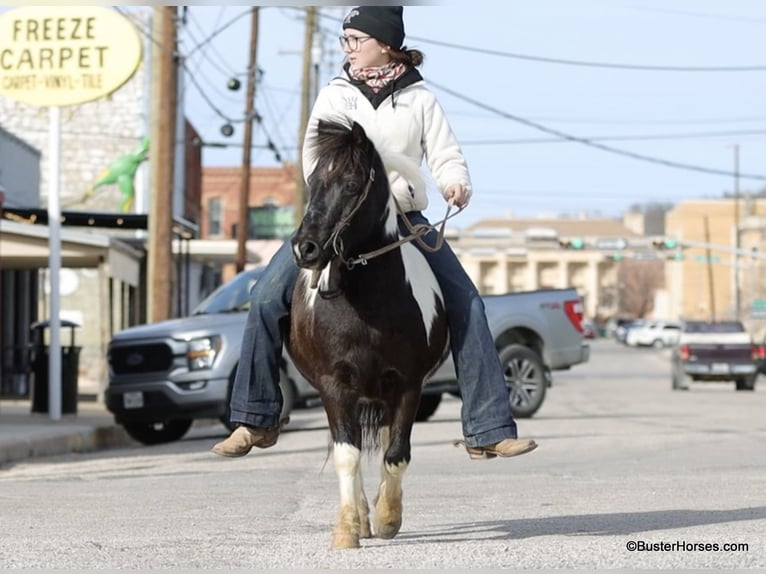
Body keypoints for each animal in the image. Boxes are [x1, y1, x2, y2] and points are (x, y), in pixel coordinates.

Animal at [287, 119, 450, 549]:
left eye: (351, 183)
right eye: (313, 181)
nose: (305, 248)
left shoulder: (409, 384)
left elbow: (397, 452)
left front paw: (388, 517)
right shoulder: (334, 385)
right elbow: (347, 454)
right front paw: (347, 529)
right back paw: (360, 516)